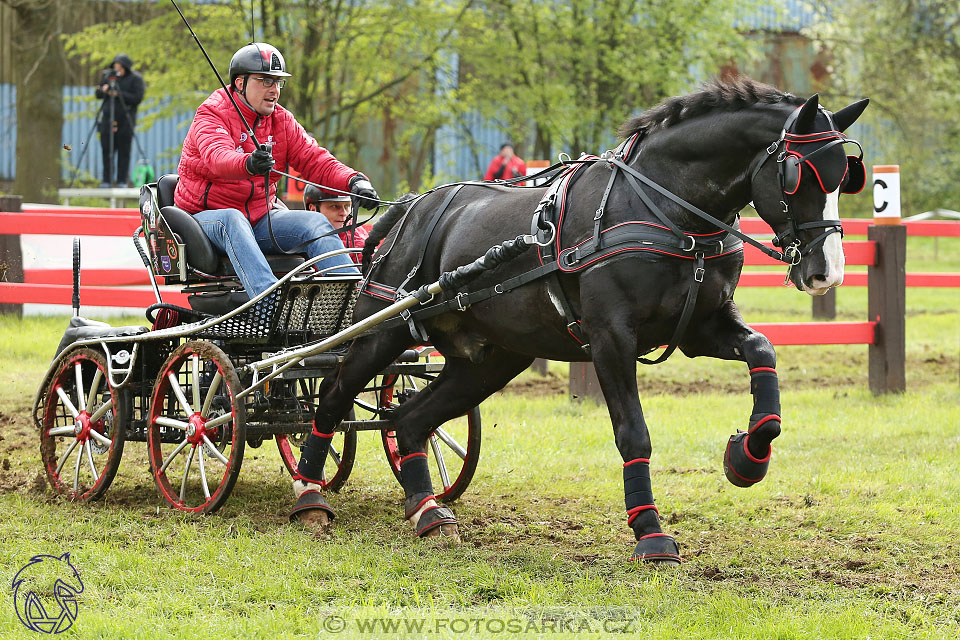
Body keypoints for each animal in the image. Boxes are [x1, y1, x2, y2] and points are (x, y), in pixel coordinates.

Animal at [288, 80, 868, 564]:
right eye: (797, 176)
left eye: (846, 177)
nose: (827, 271)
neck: (664, 208)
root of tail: (411, 206)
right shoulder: (612, 339)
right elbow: (634, 434)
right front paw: (650, 533)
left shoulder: (700, 329)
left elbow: (763, 352)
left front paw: (748, 457)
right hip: (381, 331)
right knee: (334, 395)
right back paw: (310, 495)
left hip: (489, 360)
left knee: (408, 420)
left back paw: (427, 511)